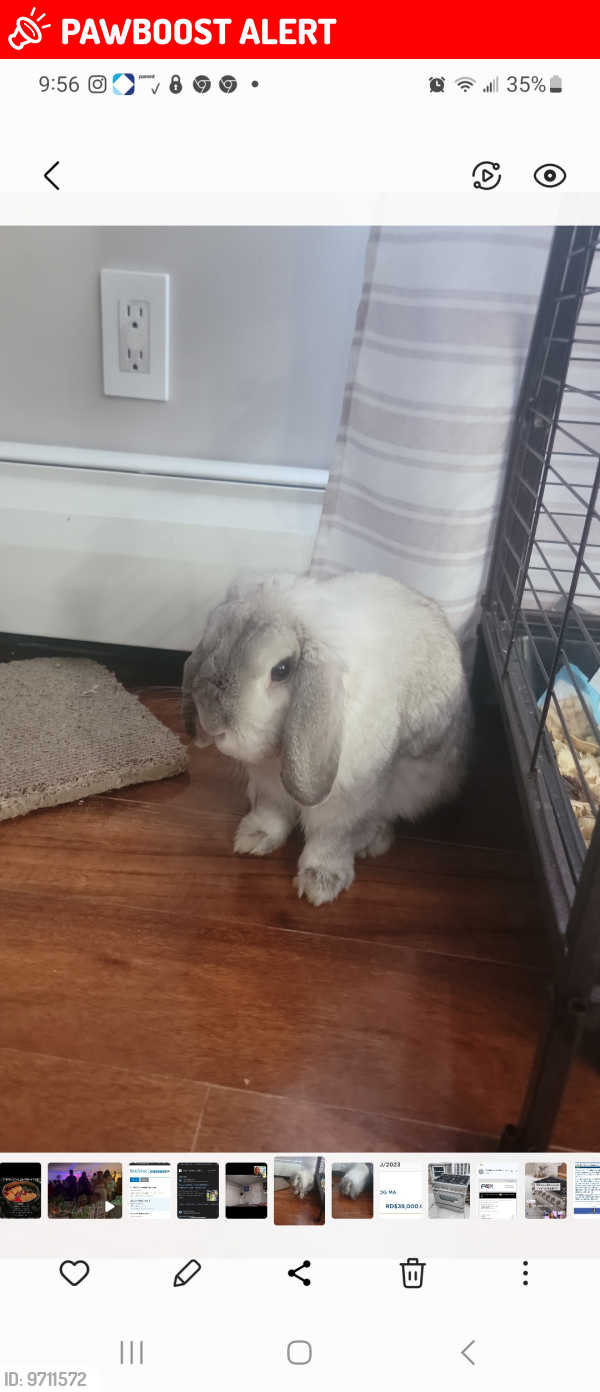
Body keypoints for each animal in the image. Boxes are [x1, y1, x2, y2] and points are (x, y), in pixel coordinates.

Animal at [182, 570, 470, 906]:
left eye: (282, 670)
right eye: (211, 640)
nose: (212, 722)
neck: (278, 755)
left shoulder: (343, 802)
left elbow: (330, 839)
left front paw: (320, 884)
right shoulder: (269, 785)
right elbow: (271, 813)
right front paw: (252, 839)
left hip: (413, 788)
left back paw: (370, 841)